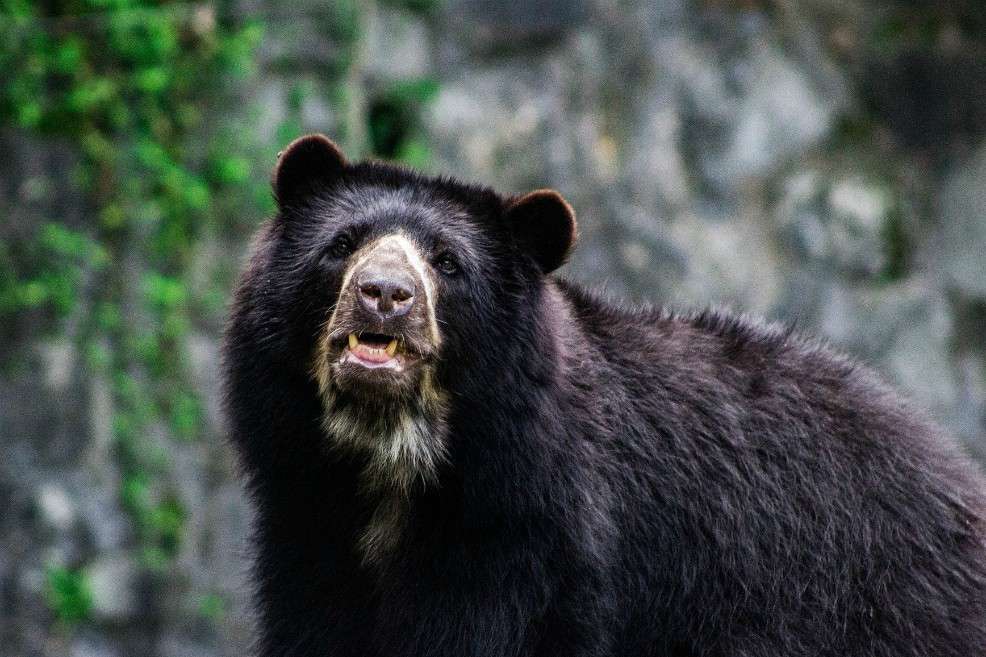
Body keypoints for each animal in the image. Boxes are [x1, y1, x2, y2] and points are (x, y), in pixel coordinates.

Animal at [222, 133, 986, 657]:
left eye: (448, 263)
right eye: (342, 243)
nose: (385, 294)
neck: (396, 468)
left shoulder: (533, 544)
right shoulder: (309, 523)